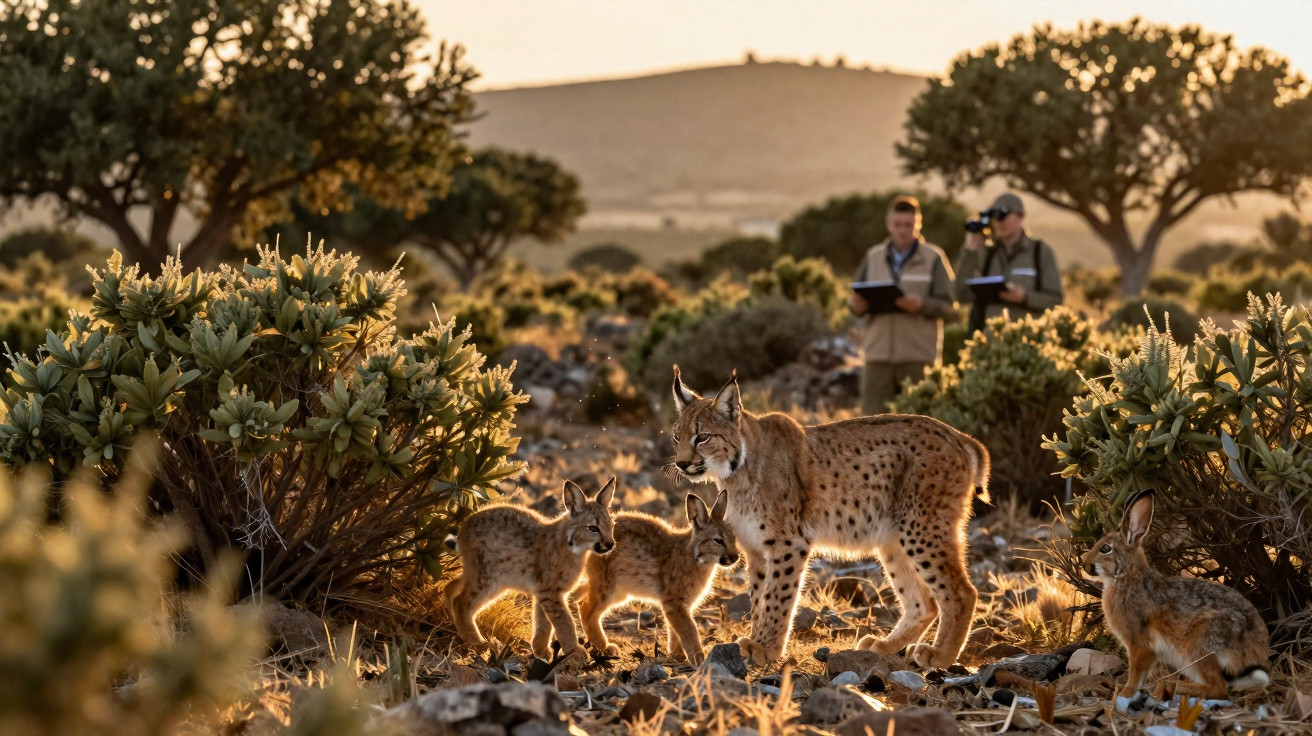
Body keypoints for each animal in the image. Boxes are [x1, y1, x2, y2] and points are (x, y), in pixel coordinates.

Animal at [1081, 490, 1271, 699]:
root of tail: (1258, 650)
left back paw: (1174, 688)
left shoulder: (1139, 644)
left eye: (1105, 549)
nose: (1085, 565)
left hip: (1200, 647)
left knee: (1218, 688)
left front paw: (1125, 694)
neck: (1126, 576)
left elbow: (1136, 673)